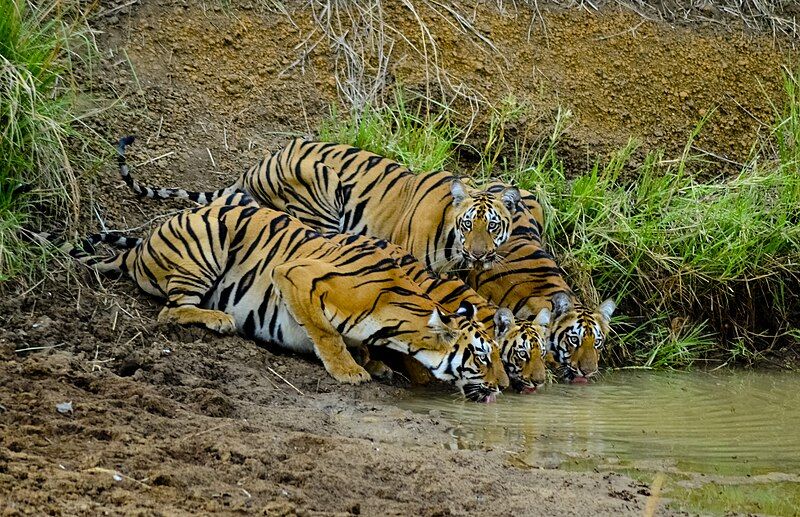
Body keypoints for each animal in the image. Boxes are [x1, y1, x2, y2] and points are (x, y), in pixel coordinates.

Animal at [48, 191, 536, 402]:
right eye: (481, 356)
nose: (504, 386)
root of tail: (139, 246)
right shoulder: (296, 274)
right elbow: (327, 333)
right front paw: (349, 371)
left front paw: (372, 362)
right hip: (208, 240)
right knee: (169, 312)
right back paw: (217, 319)